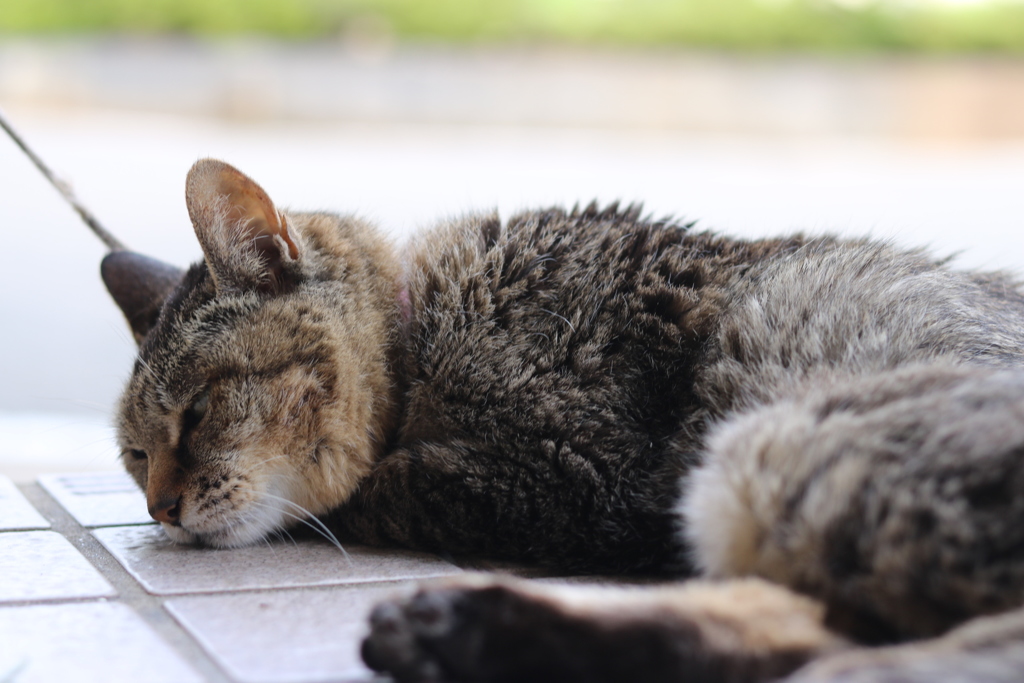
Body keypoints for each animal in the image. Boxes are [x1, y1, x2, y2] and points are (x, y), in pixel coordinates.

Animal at [101, 157, 1024, 679]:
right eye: (135, 455)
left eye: (197, 413)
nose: (160, 508)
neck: (423, 334)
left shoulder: (585, 472)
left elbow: (376, 485)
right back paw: (461, 637)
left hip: (773, 453)